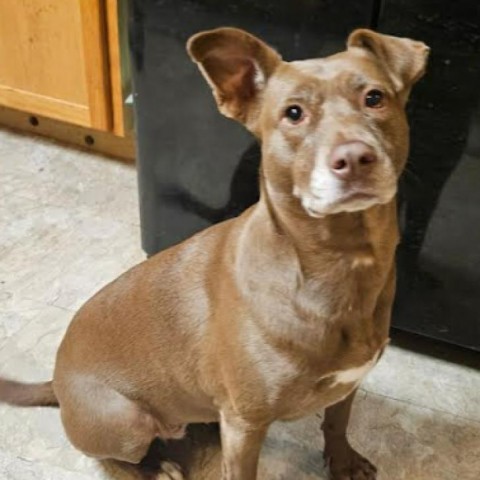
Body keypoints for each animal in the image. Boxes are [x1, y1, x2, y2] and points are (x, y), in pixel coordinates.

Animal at [0, 27, 428, 480]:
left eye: (375, 98)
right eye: (293, 113)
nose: (354, 158)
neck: (340, 263)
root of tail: (57, 382)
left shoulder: (347, 385)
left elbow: (336, 421)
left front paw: (343, 462)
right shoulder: (244, 425)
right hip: (125, 419)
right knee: (115, 458)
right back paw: (155, 467)